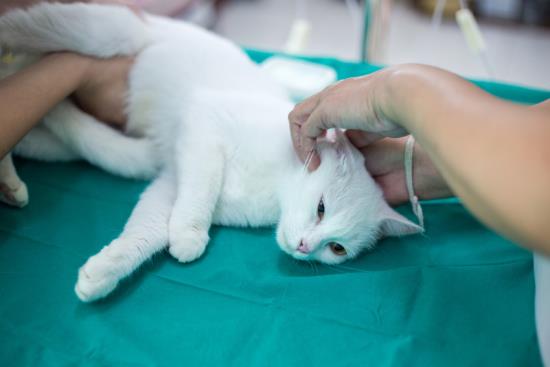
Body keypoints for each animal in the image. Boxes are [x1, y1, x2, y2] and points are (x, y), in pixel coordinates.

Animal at [0, 2, 422, 302]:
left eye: (336, 248)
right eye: (320, 208)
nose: (305, 247)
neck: (274, 187)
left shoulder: (170, 181)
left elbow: (146, 232)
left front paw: (103, 271)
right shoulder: (203, 123)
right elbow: (202, 187)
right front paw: (189, 235)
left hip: (118, 154)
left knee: (45, 128)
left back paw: (12, 183)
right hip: (105, 35)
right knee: (31, 30)